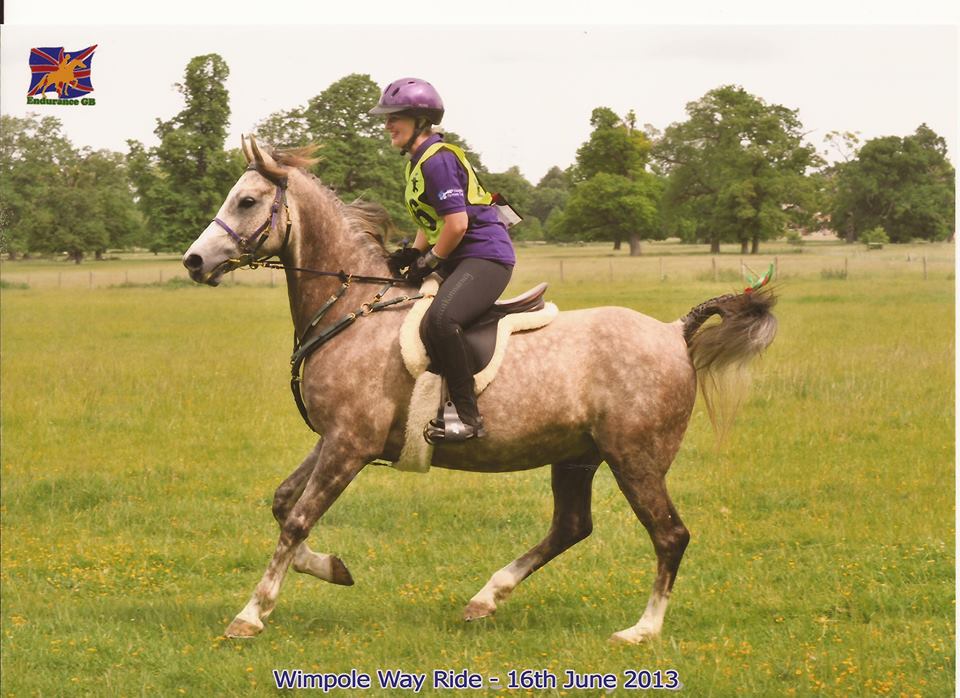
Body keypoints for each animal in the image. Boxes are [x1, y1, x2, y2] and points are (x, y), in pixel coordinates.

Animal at [182, 135, 780, 640]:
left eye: (248, 201)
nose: (193, 261)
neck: (353, 308)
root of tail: (673, 331)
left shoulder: (349, 444)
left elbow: (298, 519)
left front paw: (252, 613)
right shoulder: (336, 438)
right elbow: (285, 503)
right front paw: (333, 568)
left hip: (636, 458)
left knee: (669, 535)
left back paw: (643, 629)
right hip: (578, 455)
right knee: (571, 526)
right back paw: (486, 598)